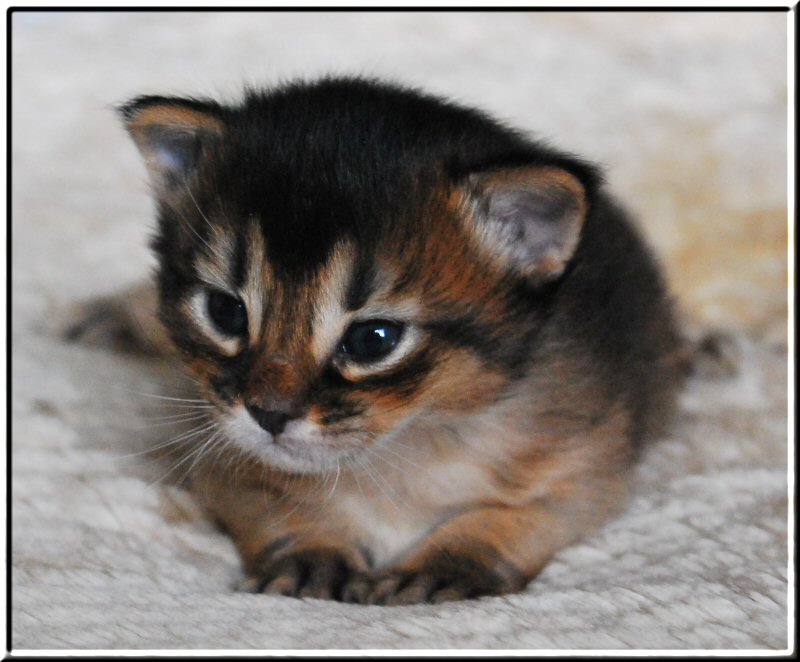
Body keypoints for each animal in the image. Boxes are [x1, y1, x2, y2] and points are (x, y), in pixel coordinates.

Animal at [67, 76, 688, 608]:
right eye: (225, 311)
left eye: (373, 340)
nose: (269, 414)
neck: (403, 449)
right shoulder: (218, 446)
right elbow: (270, 503)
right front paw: (312, 552)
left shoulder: (589, 470)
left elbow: (515, 516)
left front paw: (447, 563)